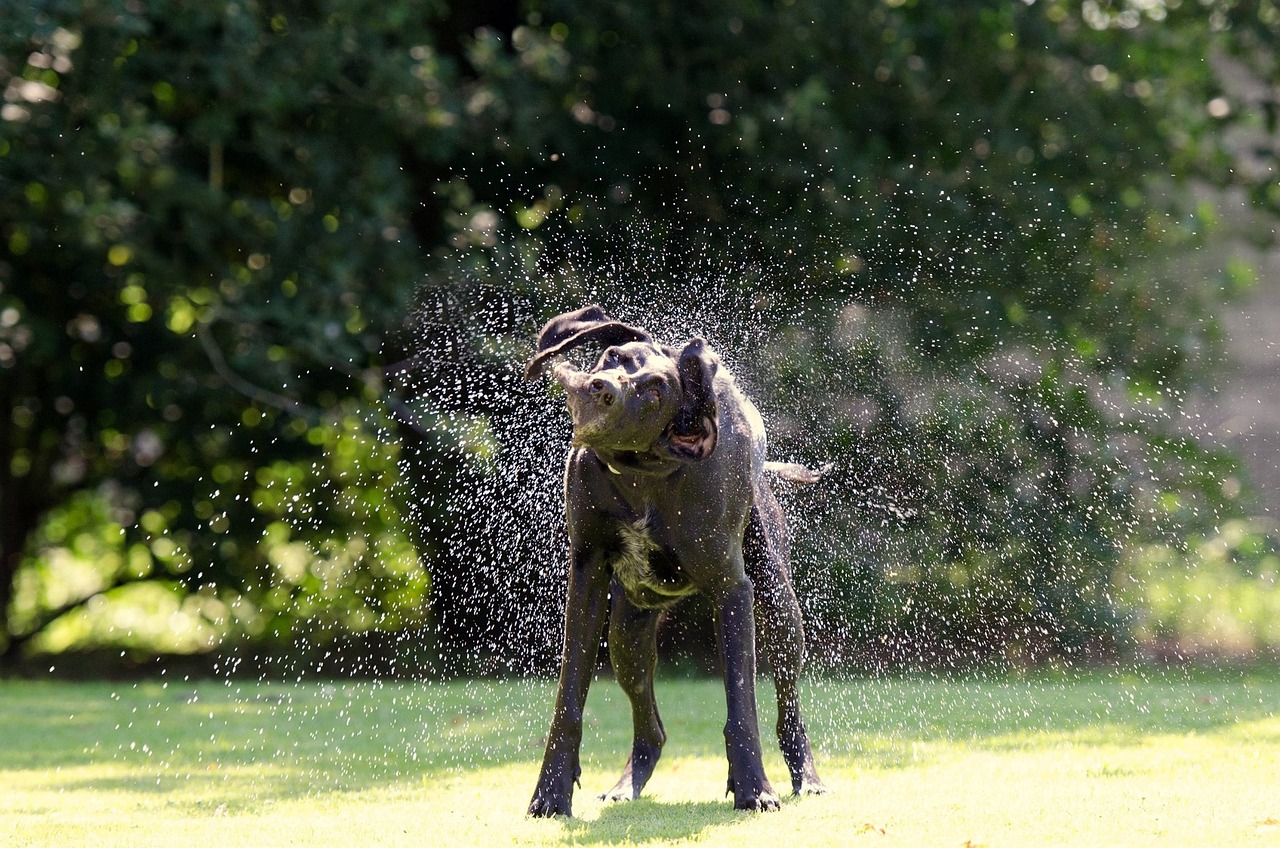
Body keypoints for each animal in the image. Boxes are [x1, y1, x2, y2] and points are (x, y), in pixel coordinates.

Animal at [524, 306, 824, 819]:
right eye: (612, 355)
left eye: (655, 391)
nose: (599, 388)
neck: (642, 476)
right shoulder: (586, 579)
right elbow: (568, 702)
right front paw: (550, 794)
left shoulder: (731, 589)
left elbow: (742, 706)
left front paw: (753, 788)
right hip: (627, 636)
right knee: (652, 729)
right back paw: (625, 785)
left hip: (781, 613)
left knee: (789, 710)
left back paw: (807, 777)